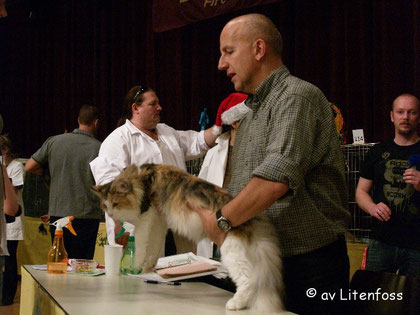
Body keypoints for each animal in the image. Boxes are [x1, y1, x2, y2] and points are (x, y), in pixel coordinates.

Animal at [93, 164, 284, 312]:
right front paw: (148, 268)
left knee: (248, 280)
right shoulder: (159, 221)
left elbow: (141, 247)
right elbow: (154, 248)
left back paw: (236, 304)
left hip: (231, 251)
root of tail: (252, 219)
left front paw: (137, 266)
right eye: (105, 206)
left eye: (116, 204)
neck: (142, 183)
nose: (110, 214)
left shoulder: (146, 220)